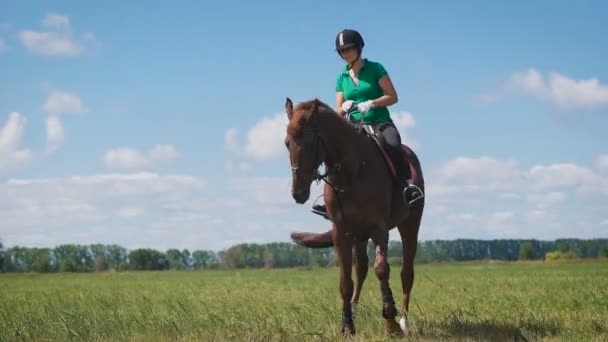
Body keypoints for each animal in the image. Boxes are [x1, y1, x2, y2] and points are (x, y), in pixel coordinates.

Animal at [284, 97, 422, 336]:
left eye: (310, 141)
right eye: (286, 143)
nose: (298, 193)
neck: (351, 172)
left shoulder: (379, 228)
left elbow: (382, 269)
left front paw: (391, 322)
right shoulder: (342, 232)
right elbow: (346, 281)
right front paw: (347, 325)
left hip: (410, 224)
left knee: (406, 272)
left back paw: (404, 320)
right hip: (359, 234)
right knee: (361, 270)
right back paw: (356, 312)